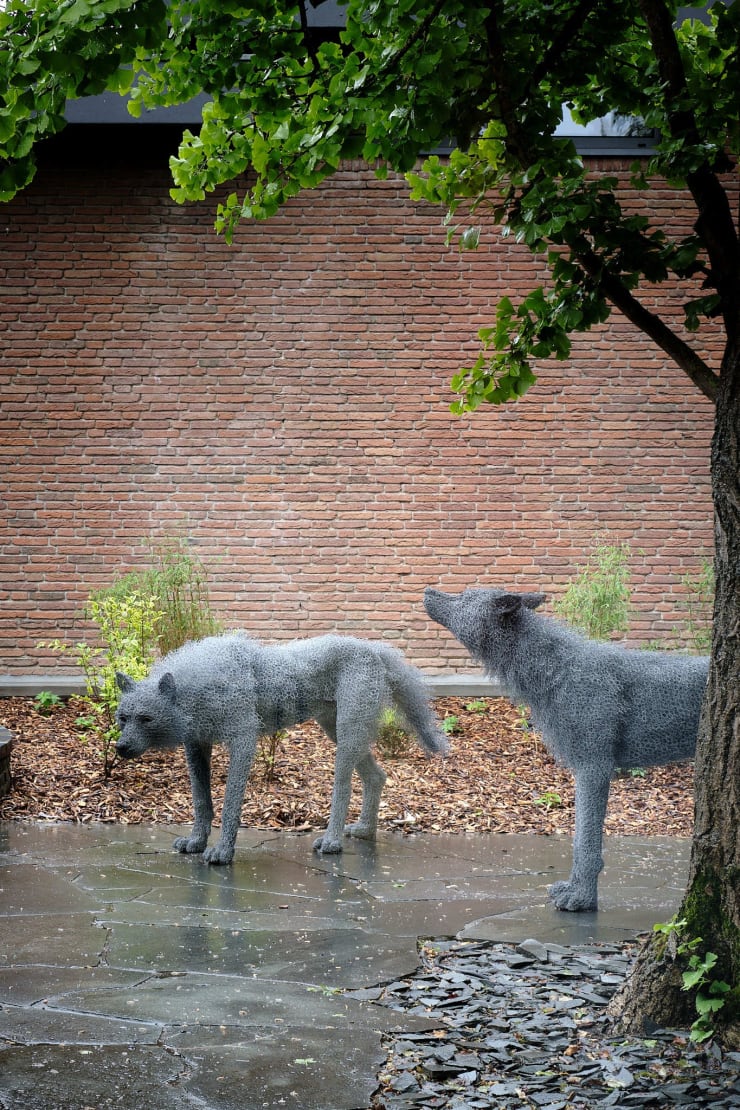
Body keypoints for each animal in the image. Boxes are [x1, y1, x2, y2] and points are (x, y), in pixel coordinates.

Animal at [115, 632, 448, 865]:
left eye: (146, 718)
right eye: (123, 718)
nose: (121, 747)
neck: (195, 685)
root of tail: (375, 650)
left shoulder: (243, 742)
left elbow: (229, 805)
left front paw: (222, 852)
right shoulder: (196, 746)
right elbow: (201, 801)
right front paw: (196, 842)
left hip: (347, 733)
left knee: (344, 786)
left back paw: (332, 841)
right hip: (337, 730)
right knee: (376, 776)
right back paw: (365, 830)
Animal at [424, 586, 708, 911]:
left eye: (464, 596)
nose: (429, 590)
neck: (559, 667)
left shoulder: (593, 769)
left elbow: (585, 843)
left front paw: (581, 898)